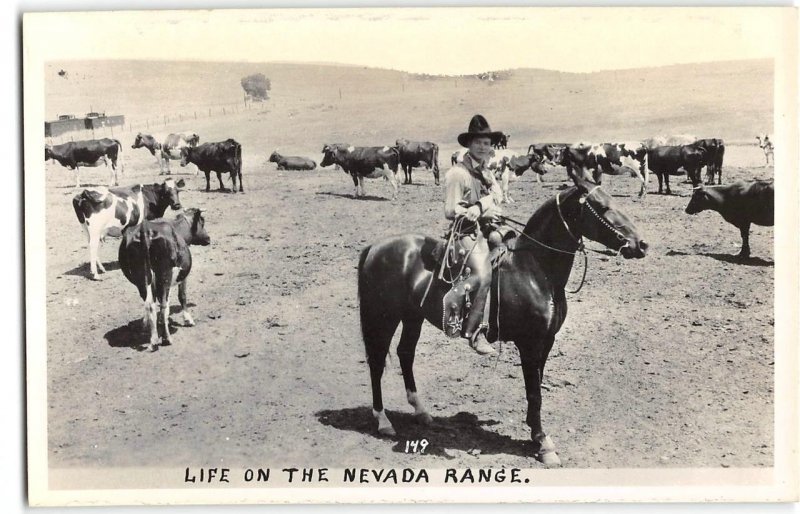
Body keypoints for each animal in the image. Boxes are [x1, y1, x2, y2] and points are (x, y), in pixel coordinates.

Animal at [119, 206, 211, 350]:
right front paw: (188, 319)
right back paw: (166, 338)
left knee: (149, 304)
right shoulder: (181, 276)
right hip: (164, 274)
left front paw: (146, 323)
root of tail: (145, 230)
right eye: (202, 221)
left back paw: (153, 339)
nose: (208, 238)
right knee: (162, 305)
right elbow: (181, 296)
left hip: (140, 277)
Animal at [360, 174, 648, 466]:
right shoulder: (529, 343)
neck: (536, 270)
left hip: (412, 317)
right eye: (602, 206)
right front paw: (543, 443)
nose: (641, 244)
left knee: (405, 353)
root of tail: (375, 247)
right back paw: (383, 421)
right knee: (377, 361)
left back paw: (421, 412)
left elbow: (537, 387)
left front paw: (535, 433)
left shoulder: (547, 341)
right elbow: (534, 392)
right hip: (383, 316)